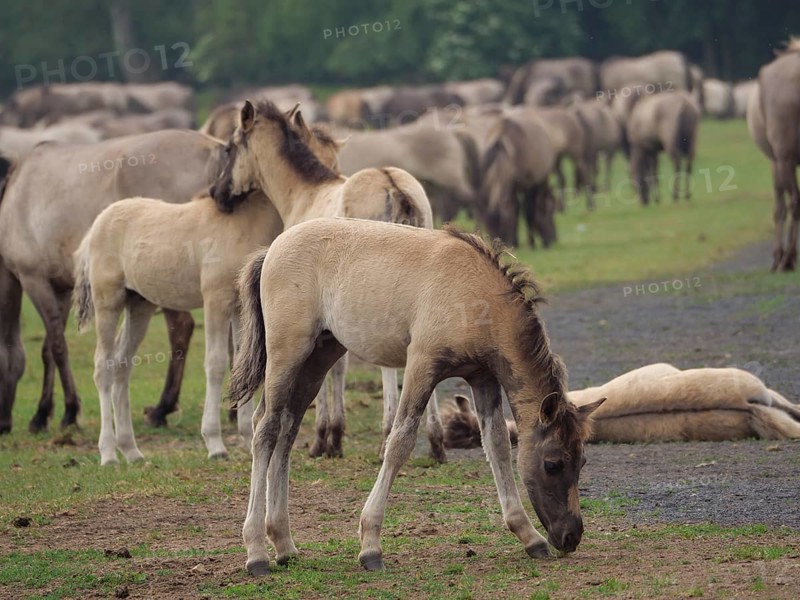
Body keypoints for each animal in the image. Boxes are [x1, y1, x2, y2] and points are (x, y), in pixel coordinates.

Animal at [0, 129, 228, 434]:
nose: (2, 424)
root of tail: (212, 147)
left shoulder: (33, 279)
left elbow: (58, 347)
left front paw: (63, 412)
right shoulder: (60, 289)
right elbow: (49, 347)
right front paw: (46, 412)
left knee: (181, 328)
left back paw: (162, 408)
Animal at [72, 114, 339, 465]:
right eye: (306, 152)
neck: (242, 223)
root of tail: (94, 228)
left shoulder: (240, 308)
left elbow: (242, 360)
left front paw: (245, 436)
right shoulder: (215, 302)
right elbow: (215, 364)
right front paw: (214, 442)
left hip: (139, 305)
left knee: (122, 366)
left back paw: (131, 450)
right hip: (109, 302)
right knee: (103, 366)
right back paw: (108, 453)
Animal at [210, 100, 447, 462]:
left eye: (230, 148)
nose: (217, 193)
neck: (305, 194)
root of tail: (393, 186)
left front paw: (326, 437)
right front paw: (335, 435)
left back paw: (386, 437)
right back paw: (435, 441)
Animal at [228, 217, 605, 574]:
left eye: (582, 461)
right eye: (552, 464)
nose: (571, 536)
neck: (476, 293)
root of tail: (273, 248)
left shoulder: (482, 377)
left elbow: (497, 445)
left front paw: (529, 536)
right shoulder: (422, 364)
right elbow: (400, 442)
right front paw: (370, 545)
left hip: (319, 357)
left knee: (288, 429)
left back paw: (284, 544)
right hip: (288, 354)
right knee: (266, 429)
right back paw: (257, 552)